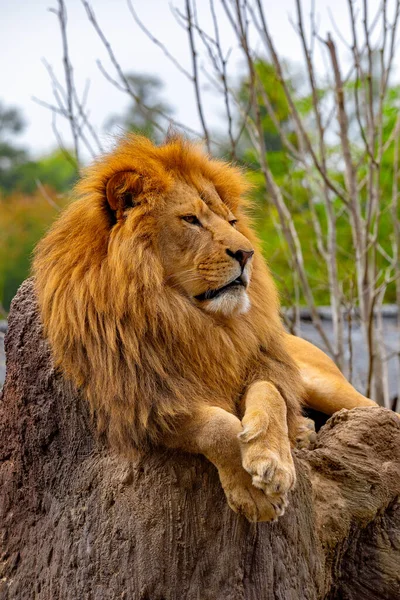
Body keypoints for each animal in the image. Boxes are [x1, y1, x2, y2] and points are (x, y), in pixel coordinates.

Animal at [32, 135, 376, 520]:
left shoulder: (265, 364)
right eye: (191, 219)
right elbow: (216, 425)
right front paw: (253, 492)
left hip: (326, 384)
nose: (247, 254)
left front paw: (273, 461)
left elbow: (270, 394)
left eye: (231, 221)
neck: (195, 321)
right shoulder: (145, 405)